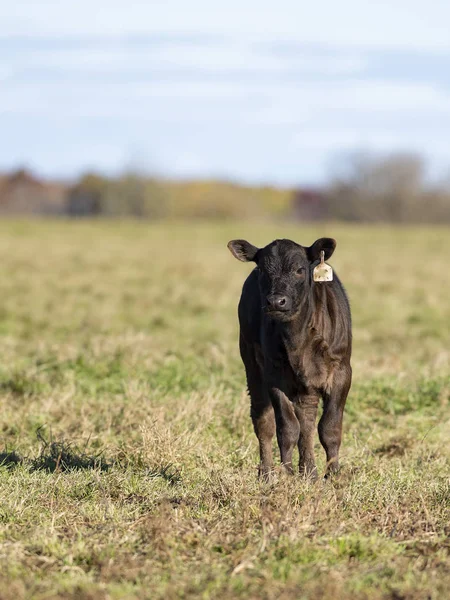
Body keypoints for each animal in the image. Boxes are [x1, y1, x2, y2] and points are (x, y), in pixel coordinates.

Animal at [229, 238, 352, 478]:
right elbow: (287, 428)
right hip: (251, 365)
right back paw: (268, 474)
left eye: (300, 270)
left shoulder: (342, 371)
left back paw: (309, 472)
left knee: (307, 420)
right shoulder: (274, 375)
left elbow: (330, 427)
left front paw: (334, 476)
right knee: (264, 422)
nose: (276, 302)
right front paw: (286, 474)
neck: (298, 340)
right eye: (262, 270)